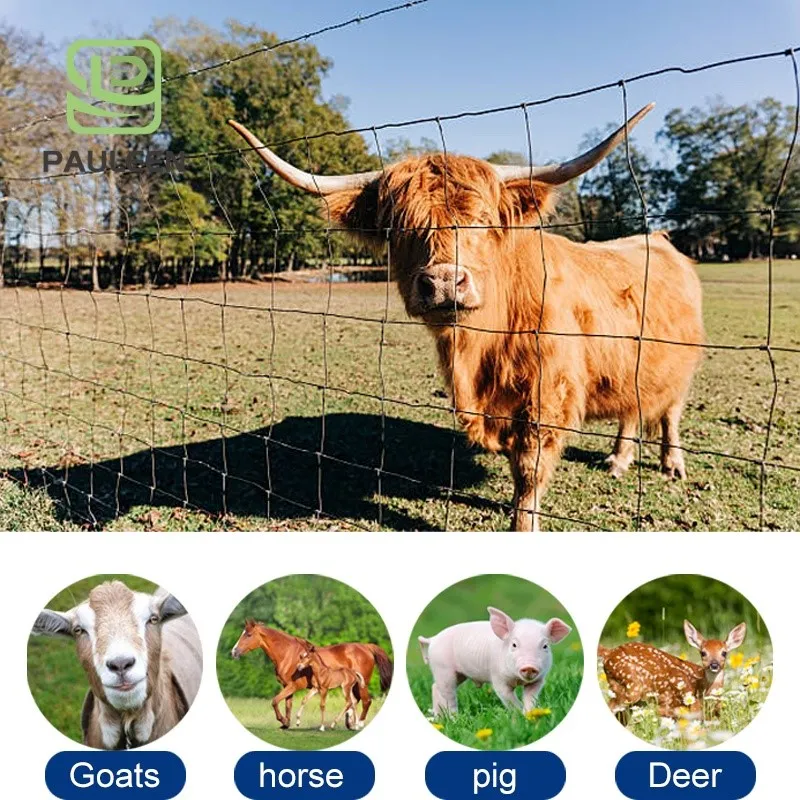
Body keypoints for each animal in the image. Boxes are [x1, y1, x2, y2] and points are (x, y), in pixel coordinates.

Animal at [227, 103, 704, 530]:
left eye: (482, 220)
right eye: (400, 226)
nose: (442, 282)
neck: (481, 353)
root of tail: (658, 239)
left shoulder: (546, 396)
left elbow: (528, 471)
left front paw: (522, 526)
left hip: (682, 367)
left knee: (670, 412)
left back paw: (672, 463)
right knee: (632, 409)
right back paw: (619, 460)